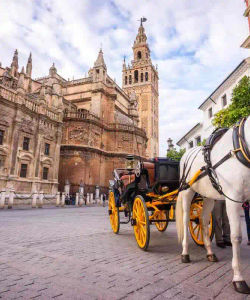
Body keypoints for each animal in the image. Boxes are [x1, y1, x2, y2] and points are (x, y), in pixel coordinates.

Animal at [176, 116, 250, 294]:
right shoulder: (233, 199)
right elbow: (236, 237)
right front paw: (238, 278)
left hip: (208, 196)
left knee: (203, 221)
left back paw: (209, 251)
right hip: (187, 192)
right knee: (185, 220)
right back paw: (185, 253)